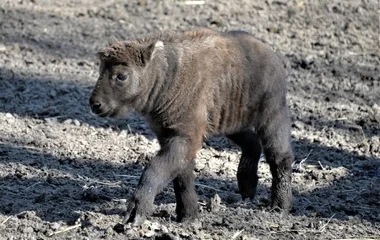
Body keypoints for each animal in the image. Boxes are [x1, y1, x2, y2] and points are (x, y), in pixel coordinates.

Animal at [89, 28, 294, 225]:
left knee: (280, 157)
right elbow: (182, 177)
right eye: (100, 70)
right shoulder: (170, 137)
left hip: (272, 116)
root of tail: (270, 52)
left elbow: (156, 169)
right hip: (232, 124)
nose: (94, 104)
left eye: (121, 76)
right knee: (252, 144)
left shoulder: (185, 136)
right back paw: (247, 188)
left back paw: (279, 207)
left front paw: (135, 213)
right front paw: (188, 217)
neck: (168, 74)